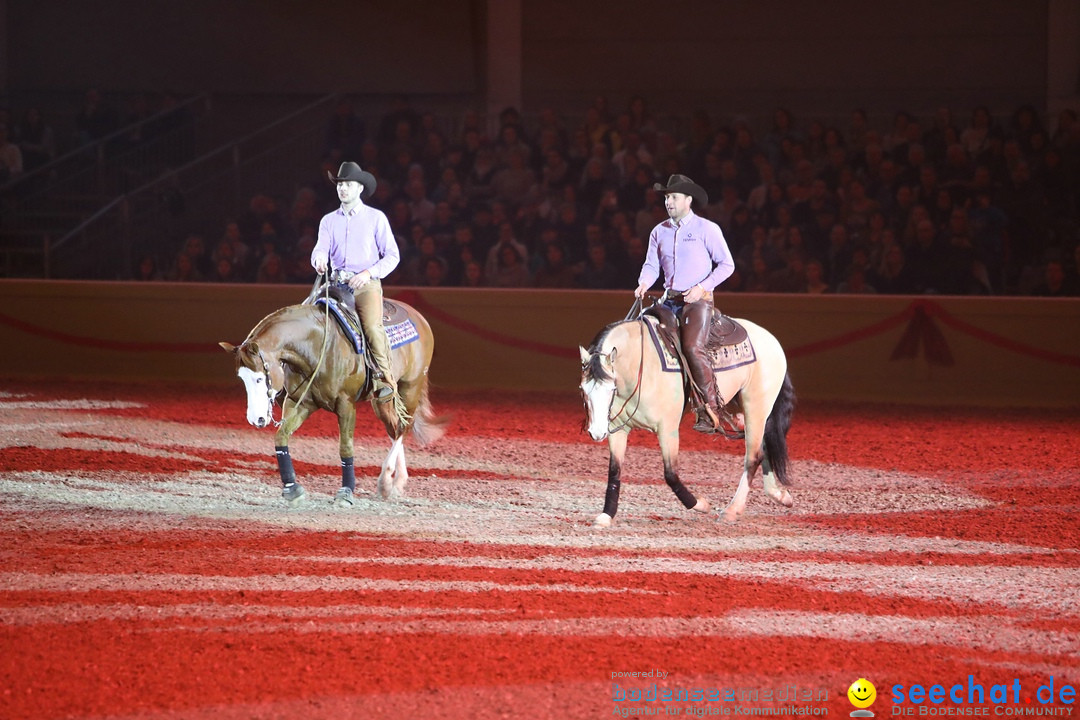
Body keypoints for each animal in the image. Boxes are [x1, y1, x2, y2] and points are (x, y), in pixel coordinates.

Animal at [221, 289, 440, 507]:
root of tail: (420, 318)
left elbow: (346, 448)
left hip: (410, 387)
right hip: (381, 401)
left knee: (404, 427)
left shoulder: (346, 404)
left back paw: (386, 481)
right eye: (242, 378)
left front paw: (346, 492)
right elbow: (281, 436)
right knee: (394, 428)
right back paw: (396, 484)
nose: (255, 419)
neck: (317, 346)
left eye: (259, 378)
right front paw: (292, 489)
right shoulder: (300, 402)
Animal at [583, 304, 794, 524]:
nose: (596, 432)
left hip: (756, 406)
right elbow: (614, 471)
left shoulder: (667, 429)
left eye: (611, 388)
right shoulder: (618, 430)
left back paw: (732, 510)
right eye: (583, 389)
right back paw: (779, 495)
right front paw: (606, 514)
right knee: (764, 446)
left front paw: (700, 504)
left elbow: (670, 474)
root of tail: (771, 339)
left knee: (753, 456)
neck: (641, 365)